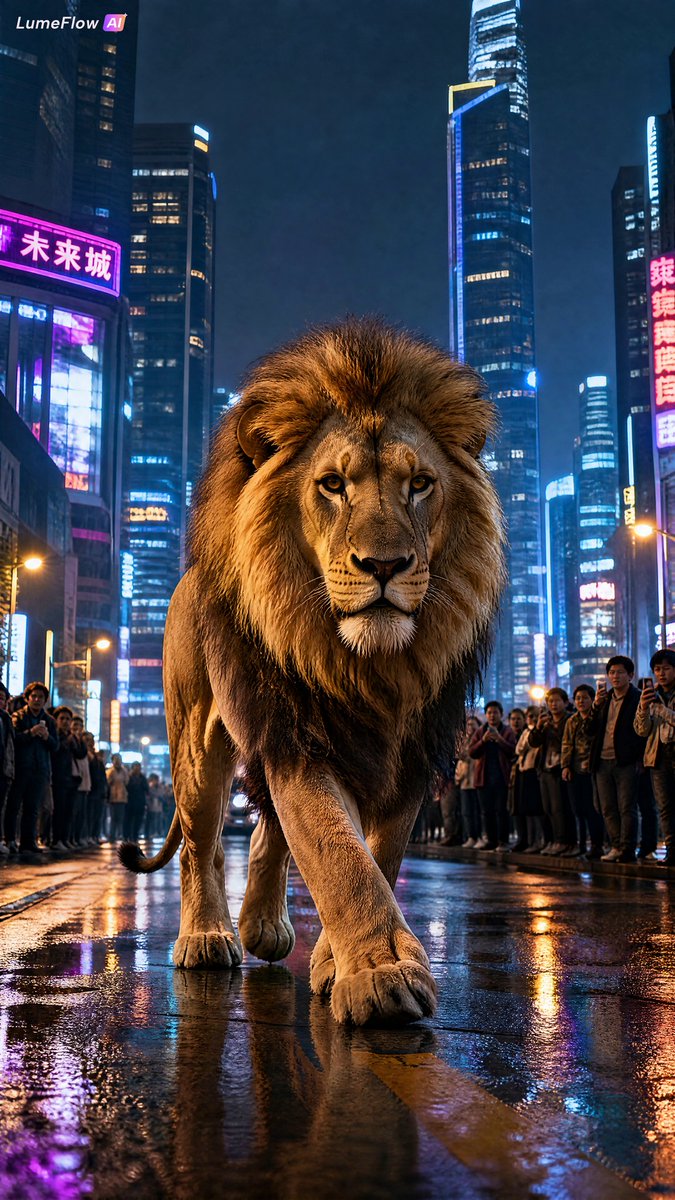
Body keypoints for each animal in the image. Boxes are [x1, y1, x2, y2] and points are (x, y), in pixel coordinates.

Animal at [120, 317, 504, 1026]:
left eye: (419, 484)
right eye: (332, 485)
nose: (384, 564)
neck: (368, 666)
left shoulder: (408, 751)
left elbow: (377, 854)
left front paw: (340, 961)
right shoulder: (297, 733)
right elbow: (336, 851)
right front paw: (381, 974)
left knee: (264, 828)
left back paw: (264, 928)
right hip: (196, 743)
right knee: (200, 842)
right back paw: (208, 936)